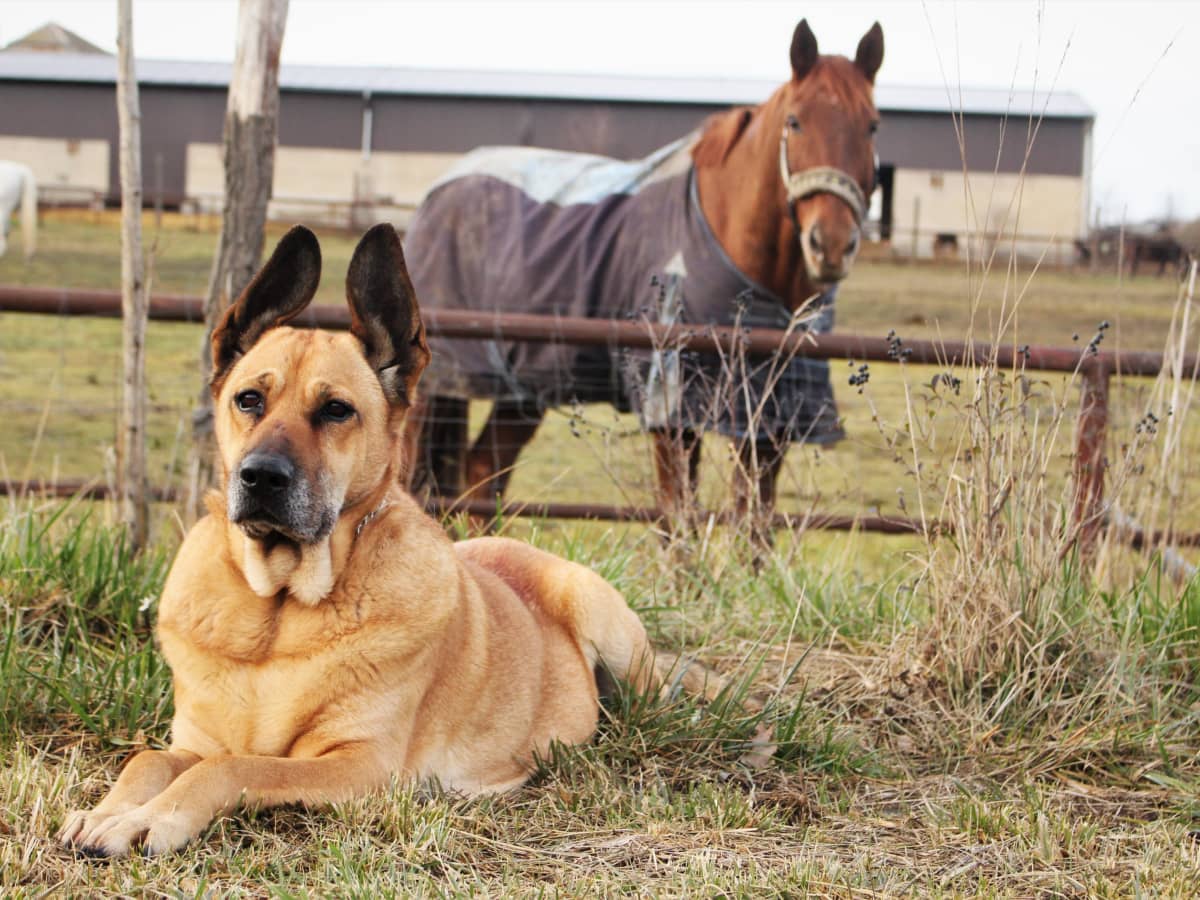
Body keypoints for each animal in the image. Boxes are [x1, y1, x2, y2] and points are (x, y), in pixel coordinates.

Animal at [403, 19, 883, 528]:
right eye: (795, 121)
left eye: (872, 125)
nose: (831, 244)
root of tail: (439, 192)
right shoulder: (672, 413)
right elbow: (678, 519)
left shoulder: (769, 418)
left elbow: (755, 522)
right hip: (435, 391)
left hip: (523, 387)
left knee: (484, 472)